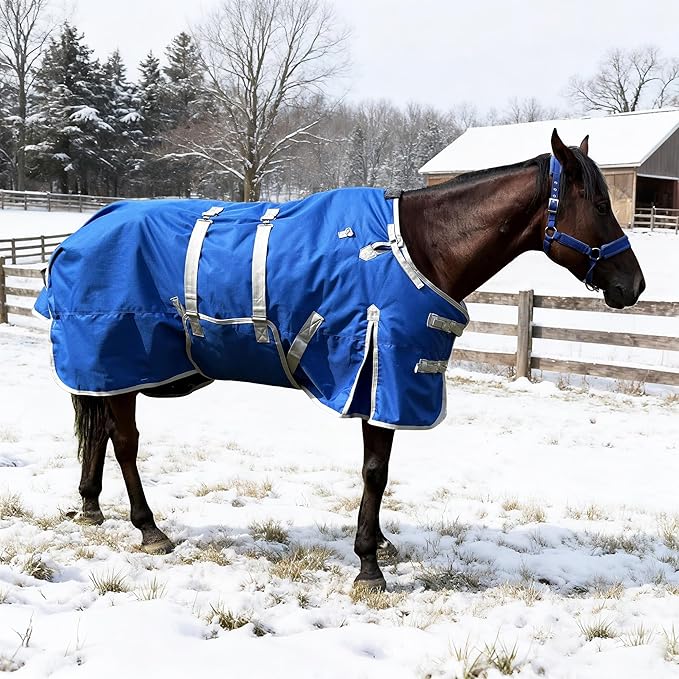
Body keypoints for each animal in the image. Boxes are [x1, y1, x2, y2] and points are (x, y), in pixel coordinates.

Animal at [37, 130, 645, 591]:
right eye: (598, 203)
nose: (633, 285)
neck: (418, 247)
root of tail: (81, 233)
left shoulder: (385, 381)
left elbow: (381, 470)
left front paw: (379, 546)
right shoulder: (381, 378)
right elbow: (375, 471)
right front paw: (368, 564)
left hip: (111, 370)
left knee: (100, 433)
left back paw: (91, 507)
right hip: (119, 360)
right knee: (124, 442)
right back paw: (148, 528)